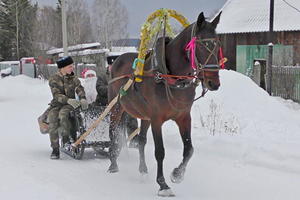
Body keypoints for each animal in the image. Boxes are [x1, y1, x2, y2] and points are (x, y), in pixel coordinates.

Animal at [106, 11, 221, 196]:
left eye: (217, 45)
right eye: (201, 46)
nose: (214, 83)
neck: (169, 75)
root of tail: (116, 60)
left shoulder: (183, 117)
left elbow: (189, 149)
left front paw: (177, 174)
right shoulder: (156, 120)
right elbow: (160, 152)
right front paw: (163, 184)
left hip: (144, 115)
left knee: (142, 140)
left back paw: (143, 170)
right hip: (116, 107)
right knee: (113, 133)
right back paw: (113, 164)